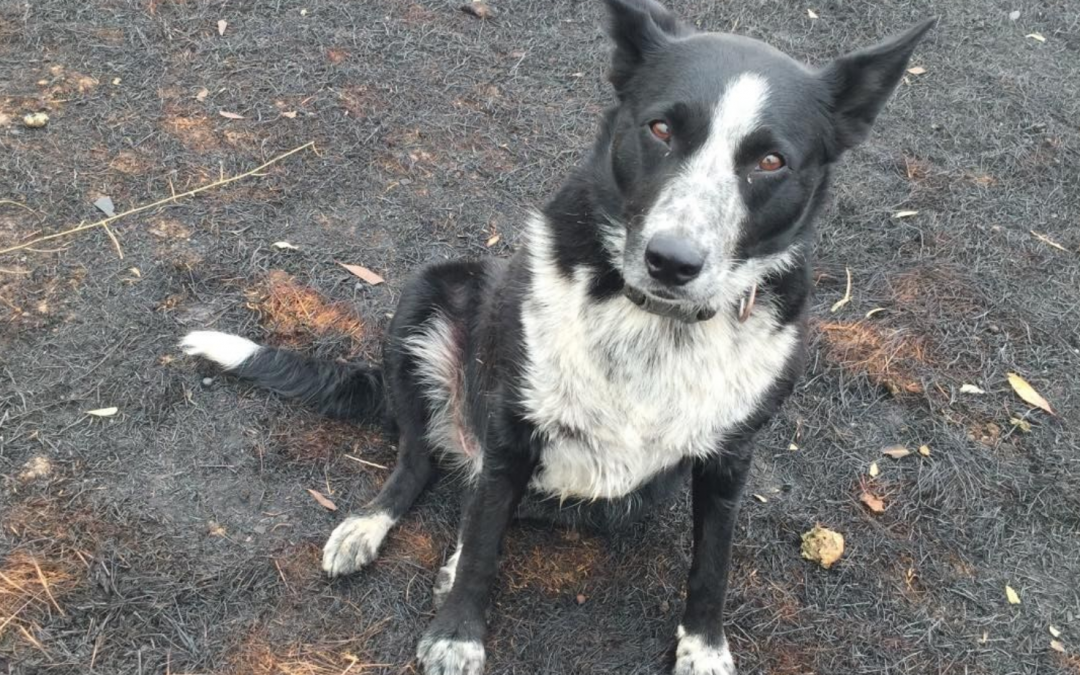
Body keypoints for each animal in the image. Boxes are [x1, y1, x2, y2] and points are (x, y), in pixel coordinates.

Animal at [181, 2, 933, 669]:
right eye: (661, 127)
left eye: (771, 162)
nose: (672, 260)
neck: (654, 325)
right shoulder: (514, 424)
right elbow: (486, 541)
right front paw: (457, 635)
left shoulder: (728, 460)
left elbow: (711, 565)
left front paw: (705, 649)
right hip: (427, 297)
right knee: (423, 462)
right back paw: (372, 525)